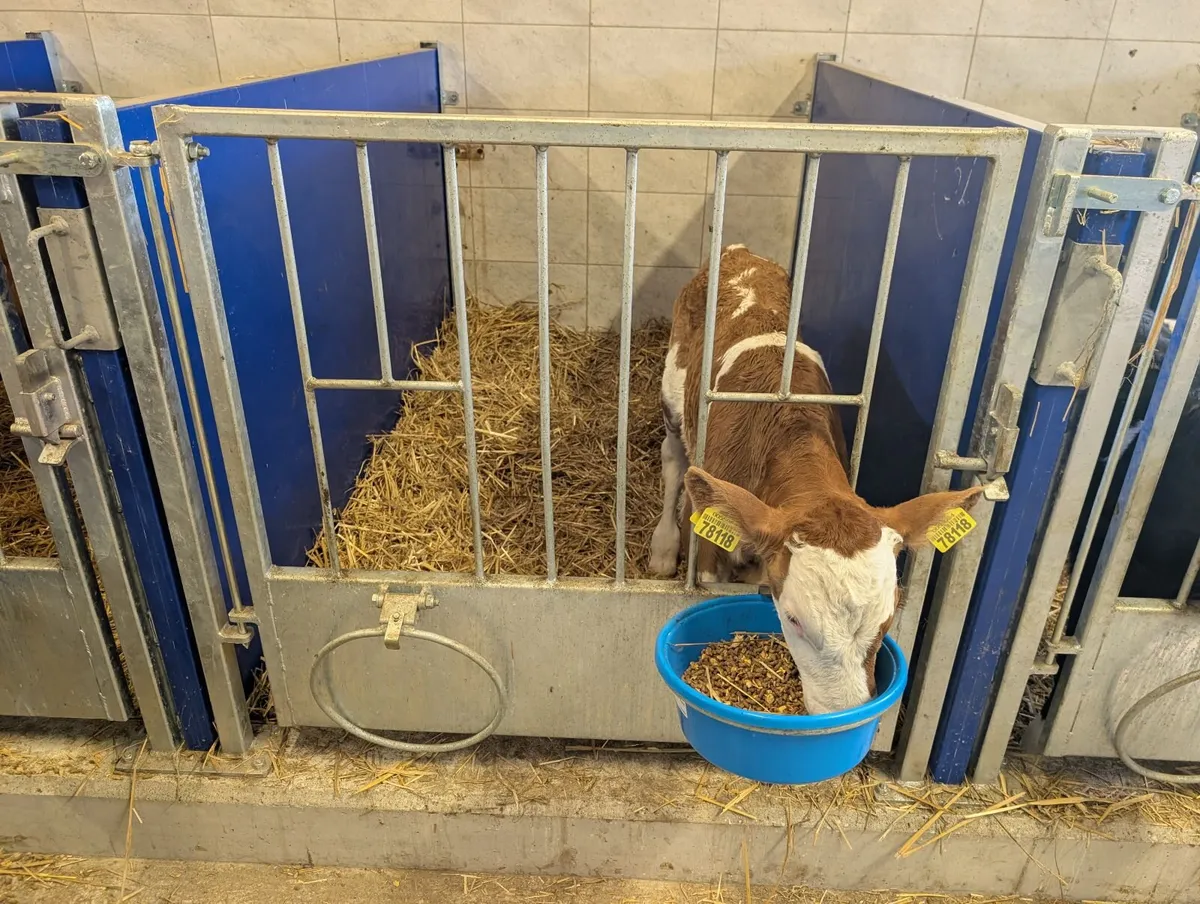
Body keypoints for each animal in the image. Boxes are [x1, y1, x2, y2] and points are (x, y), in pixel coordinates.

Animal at [648, 245, 982, 714]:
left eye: (890, 618)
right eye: (793, 619)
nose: (841, 717)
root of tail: (740, 252)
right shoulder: (716, 554)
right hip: (673, 390)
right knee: (674, 460)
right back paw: (663, 547)